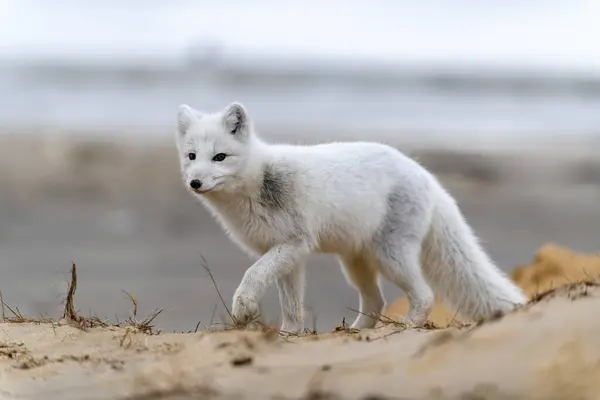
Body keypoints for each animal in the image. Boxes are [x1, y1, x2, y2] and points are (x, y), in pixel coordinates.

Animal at [173, 101, 524, 332]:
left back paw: (404, 326)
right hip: (356, 264)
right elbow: (292, 306)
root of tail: (427, 175)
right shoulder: (288, 255)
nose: (195, 182)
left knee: (423, 296)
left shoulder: (293, 244)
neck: (256, 185)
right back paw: (354, 332)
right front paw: (288, 335)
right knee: (376, 302)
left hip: (391, 258)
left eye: (220, 157)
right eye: (191, 156)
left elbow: (253, 274)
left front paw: (244, 307)